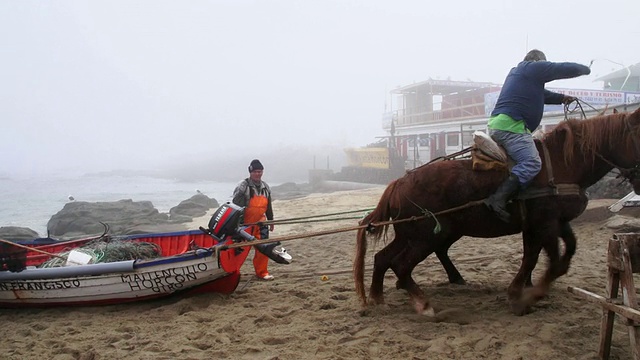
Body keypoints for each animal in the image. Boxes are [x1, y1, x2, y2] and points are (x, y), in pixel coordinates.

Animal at [352, 107, 640, 316]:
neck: (561, 165)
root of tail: (398, 182)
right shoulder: (544, 224)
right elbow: (546, 260)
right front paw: (524, 296)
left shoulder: (553, 223)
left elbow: (559, 254)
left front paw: (524, 292)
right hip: (427, 236)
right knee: (401, 264)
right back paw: (424, 304)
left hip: (413, 234)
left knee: (382, 258)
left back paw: (378, 297)